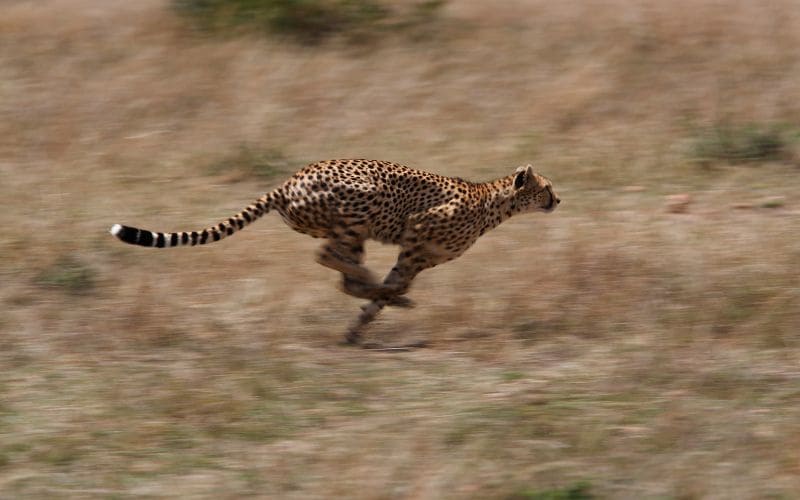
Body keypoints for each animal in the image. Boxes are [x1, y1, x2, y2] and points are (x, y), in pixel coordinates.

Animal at [110, 159, 560, 346]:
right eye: (547, 187)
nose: (559, 200)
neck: (492, 201)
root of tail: (289, 181)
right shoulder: (416, 231)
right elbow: (388, 285)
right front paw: (382, 303)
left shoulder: (416, 257)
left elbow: (387, 291)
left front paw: (357, 328)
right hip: (363, 204)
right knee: (328, 258)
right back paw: (374, 284)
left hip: (350, 230)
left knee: (342, 271)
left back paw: (376, 291)